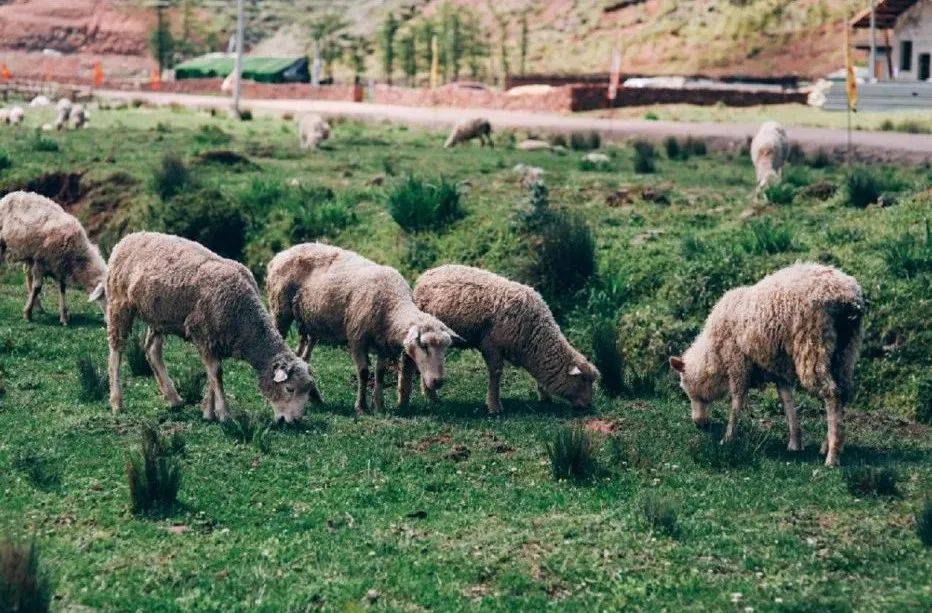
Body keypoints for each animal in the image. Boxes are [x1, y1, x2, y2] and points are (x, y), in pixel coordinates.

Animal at [0, 191, 108, 326]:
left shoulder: (59, 267)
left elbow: (62, 288)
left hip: (29, 254)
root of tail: (11, 194)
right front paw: (27, 313)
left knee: (27, 275)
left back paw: (38, 307)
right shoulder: (41, 262)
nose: (109, 321)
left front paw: (63, 317)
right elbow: (37, 288)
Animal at [105, 232, 322, 424]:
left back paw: (173, 398)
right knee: (116, 351)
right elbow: (216, 374)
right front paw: (224, 413)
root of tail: (129, 237)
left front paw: (208, 412)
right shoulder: (203, 334)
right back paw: (117, 402)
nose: (293, 422)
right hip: (119, 303)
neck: (244, 319)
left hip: (158, 317)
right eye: (289, 389)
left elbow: (212, 375)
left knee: (152, 350)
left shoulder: (213, 341)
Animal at [268, 241, 460, 414]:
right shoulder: (357, 339)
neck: (392, 306)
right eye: (424, 346)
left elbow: (380, 374)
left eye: (445, 348)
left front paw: (379, 406)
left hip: (311, 324)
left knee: (302, 358)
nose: (438, 382)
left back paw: (315, 398)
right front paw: (361, 406)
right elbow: (363, 372)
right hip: (280, 311)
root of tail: (281, 254)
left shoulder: (383, 345)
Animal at [412, 262, 600, 412]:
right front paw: (494, 406)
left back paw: (430, 395)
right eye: (583, 380)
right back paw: (431, 396)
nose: (588, 406)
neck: (535, 334)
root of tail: (425, 276)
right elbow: (496, 373)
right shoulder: (491, 344)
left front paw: (545, 397)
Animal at [668, 260, 868, 466]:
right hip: (845, 352)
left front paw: (729, 437)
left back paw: (832, 455)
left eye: (689, 391)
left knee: (832, 394)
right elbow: (787, 402)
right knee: (843, 392)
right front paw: (795, 442)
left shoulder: (738, 362)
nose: (698, 424)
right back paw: (827, 445)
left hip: (813, 345)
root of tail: (847, 296)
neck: (714, 354)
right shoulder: (779, 370)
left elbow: (737, 401)